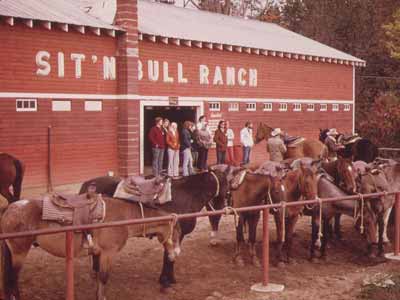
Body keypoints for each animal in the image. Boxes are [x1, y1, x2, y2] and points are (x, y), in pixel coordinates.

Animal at [0, 192, 181, 300]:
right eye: (177, 232)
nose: (176, 255)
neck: (124, 216)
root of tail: (10, 209)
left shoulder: (99, 254)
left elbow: (100, 277)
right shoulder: (108, 253)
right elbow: (104, 277)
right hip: (19, 253)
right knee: (13, 279)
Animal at [79, 171, 230, 290]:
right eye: (226, 186)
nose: (224, 207)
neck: (188, 195)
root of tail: (86, 185)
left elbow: (169, 256)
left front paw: (168, 279)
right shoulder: (172, 234)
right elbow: (169, 257)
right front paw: (166, 281)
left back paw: (96, 271)